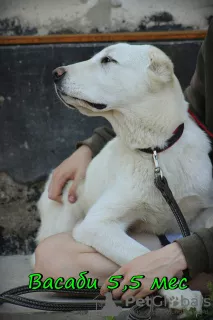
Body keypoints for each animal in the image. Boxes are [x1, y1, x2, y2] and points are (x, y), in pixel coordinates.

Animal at [35, 43, 213, 312]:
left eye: (108, 60)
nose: (55, 73)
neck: (154, 152)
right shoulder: (96, 224)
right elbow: (142, 256)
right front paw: (181, 294)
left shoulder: (206, 208)